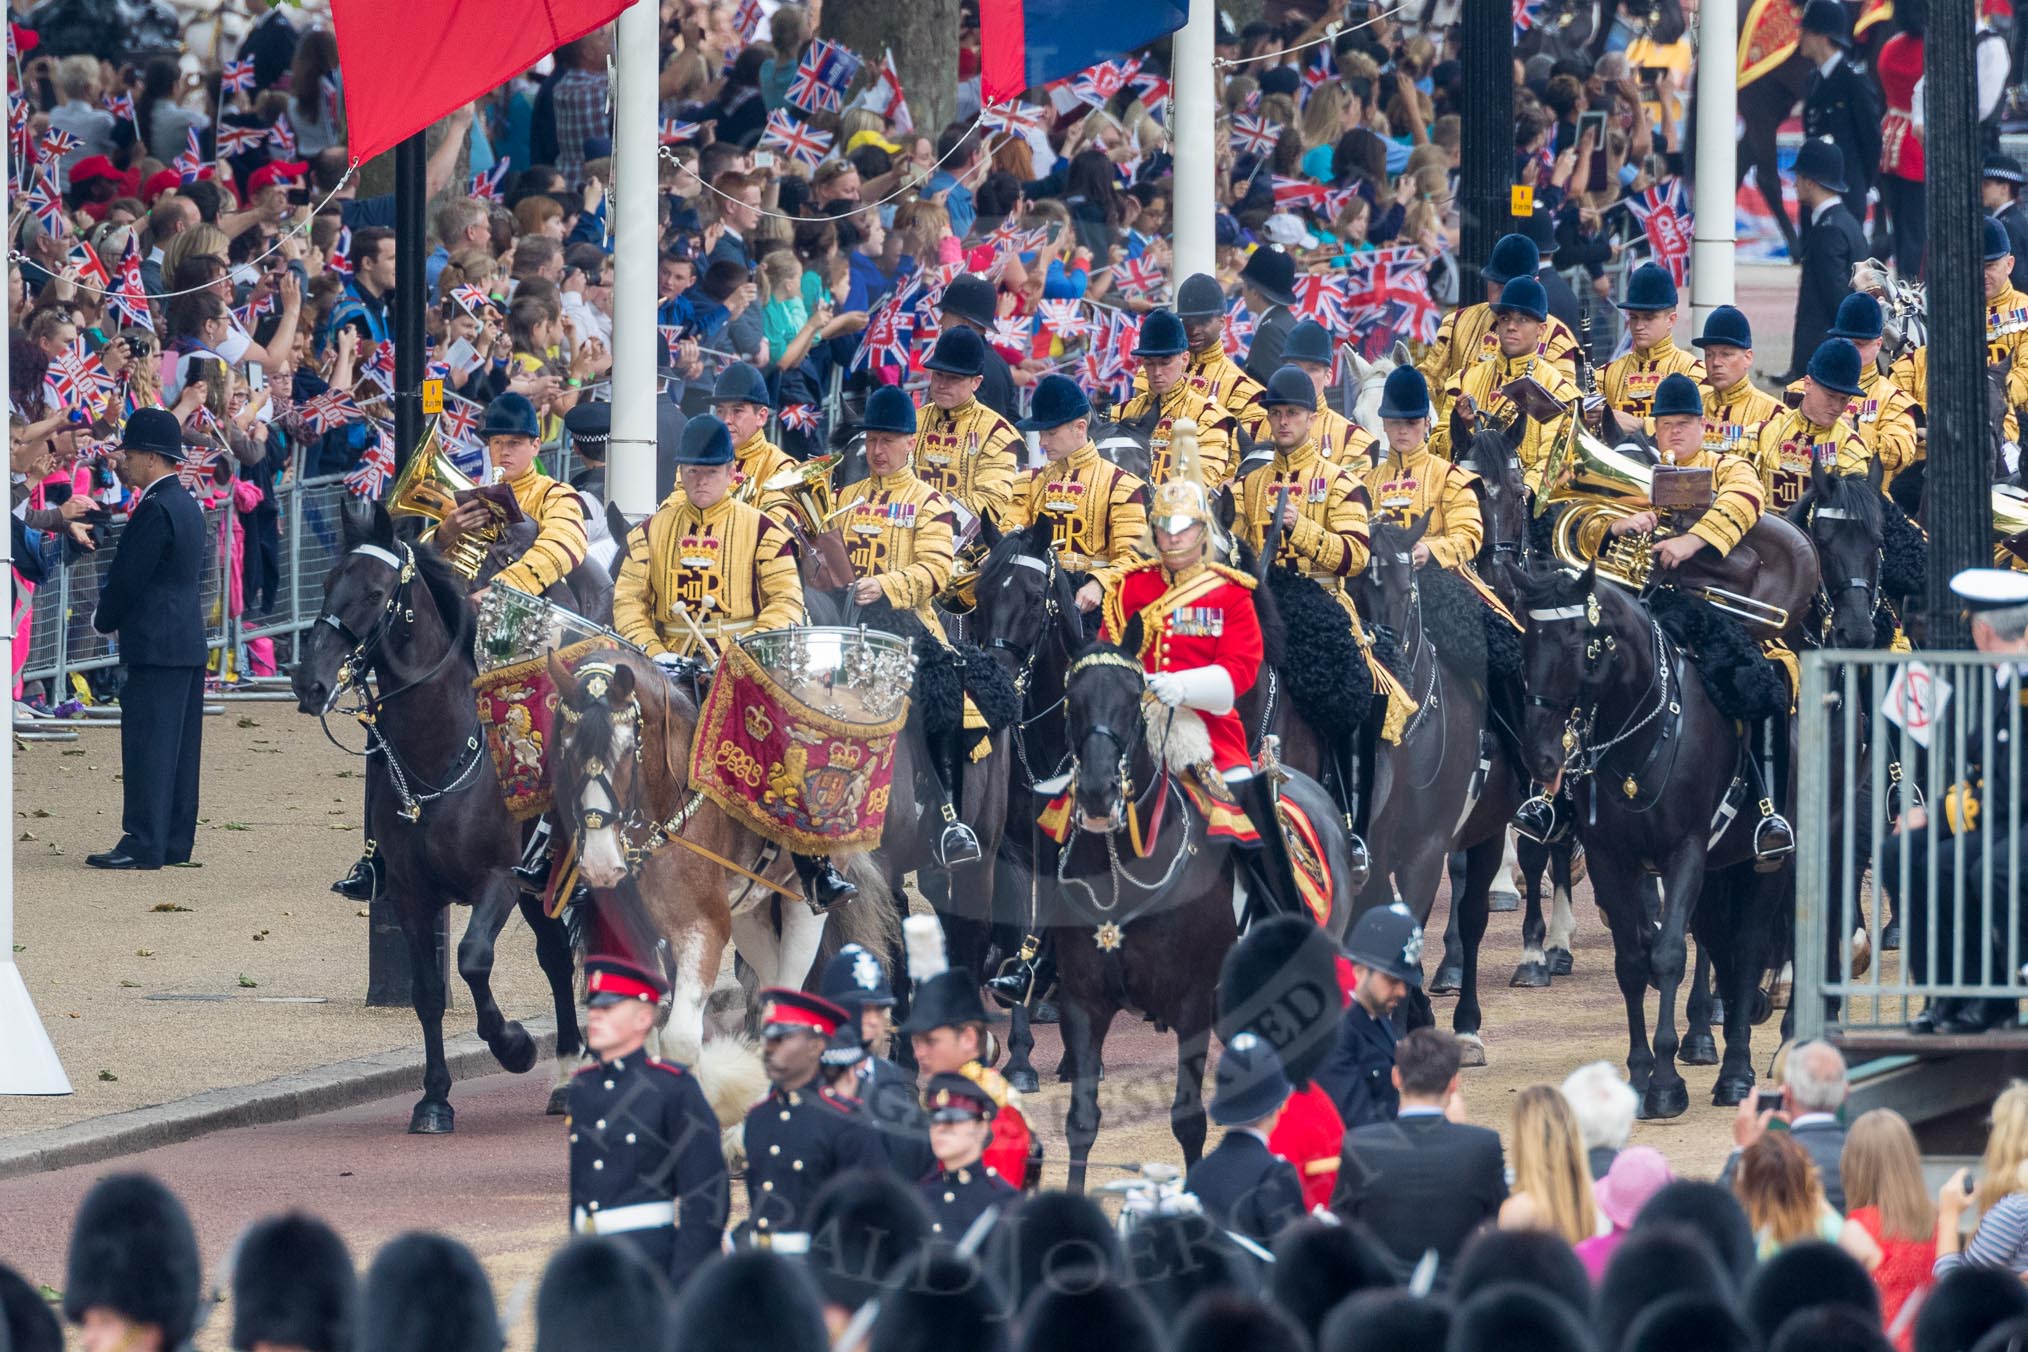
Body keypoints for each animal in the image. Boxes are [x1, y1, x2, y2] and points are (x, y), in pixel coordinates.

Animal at [290, 496, 584, 1135]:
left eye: (375, 592)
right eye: (325, 583)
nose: (309, 683)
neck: (440, 756)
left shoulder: (498, 881)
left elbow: (472, 960)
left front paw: (514, 1046)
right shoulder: (409, 892)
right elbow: (427, 991)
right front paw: (434, 1099)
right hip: (541, 890)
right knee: (556, 959)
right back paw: (570, 1077)